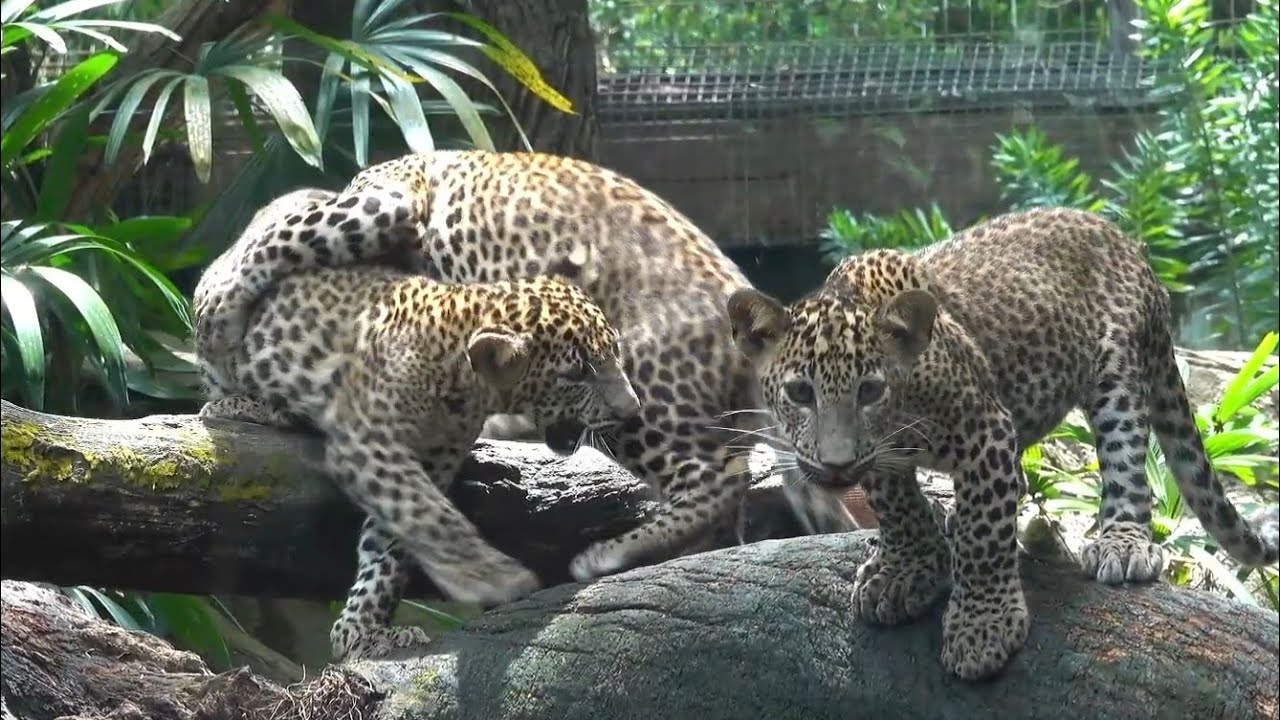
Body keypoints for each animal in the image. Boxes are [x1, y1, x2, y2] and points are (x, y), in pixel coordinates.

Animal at [190, 149, 871, 594]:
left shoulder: (386, 199)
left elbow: (282, 240)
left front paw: (220, 315)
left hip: (643, 395)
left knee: (716, 478)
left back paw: (609, 555)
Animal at [196, 264, 642, 661]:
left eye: (616, 353)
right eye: (577, 374)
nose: (632, 411)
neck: (461, 381)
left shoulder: (427, 461)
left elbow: (390, 548)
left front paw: (362, 632)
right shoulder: (367, 440)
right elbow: (430, 515)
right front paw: (492, 577)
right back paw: (242, 405)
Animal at [725, 206, 1280, 681]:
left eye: (870, 391)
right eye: (800, 393)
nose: (837, 465)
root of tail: (1126, 242)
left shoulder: (985, 431)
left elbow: (983, 539)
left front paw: (982, 628)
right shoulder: (887, 459)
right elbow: (898, 506)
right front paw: (907, 569)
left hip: (1116, 375)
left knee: (1125, 464)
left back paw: (1121, 543)